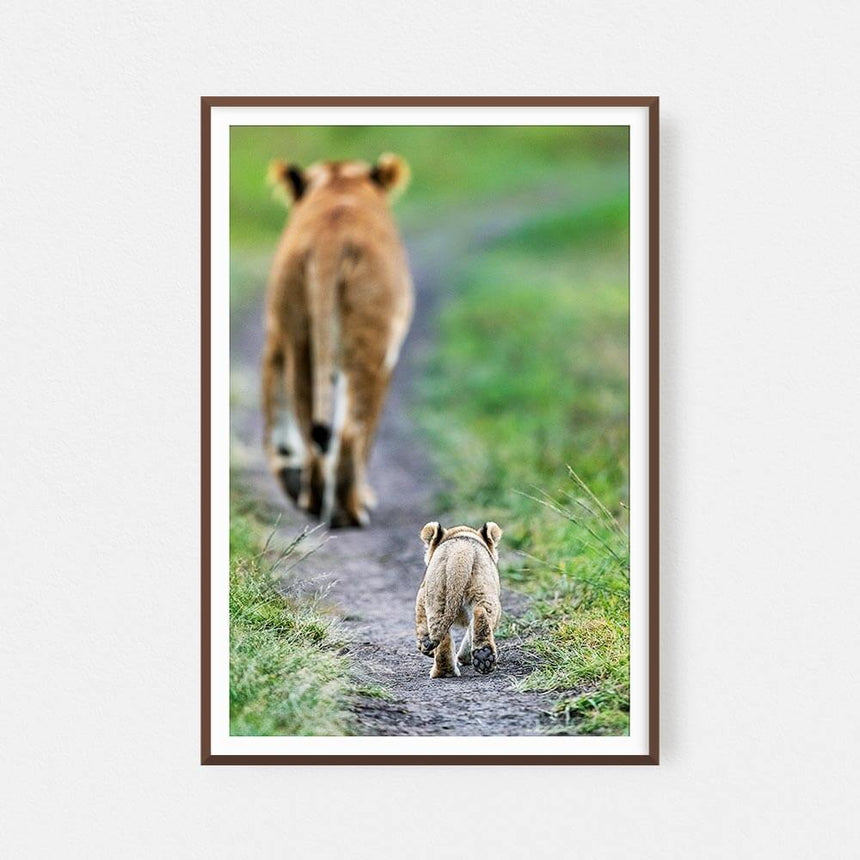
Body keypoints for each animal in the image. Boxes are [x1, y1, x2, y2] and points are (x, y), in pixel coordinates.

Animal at [262, 154, 414, 527]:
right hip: (368, 345)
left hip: (299, 336)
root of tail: (330, 236)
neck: (340, 182)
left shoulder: (275, 338)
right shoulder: (387, 358)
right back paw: (351, 510)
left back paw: (313, 501)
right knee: (350, 431)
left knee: (307, 425)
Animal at [414, 522, 504, 678]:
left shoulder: (422, 595)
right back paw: (482, 656)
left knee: (443, 632)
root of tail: (460, 551)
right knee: (480, 612)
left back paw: (446, 671)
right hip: (483, 592)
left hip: (436, 597)